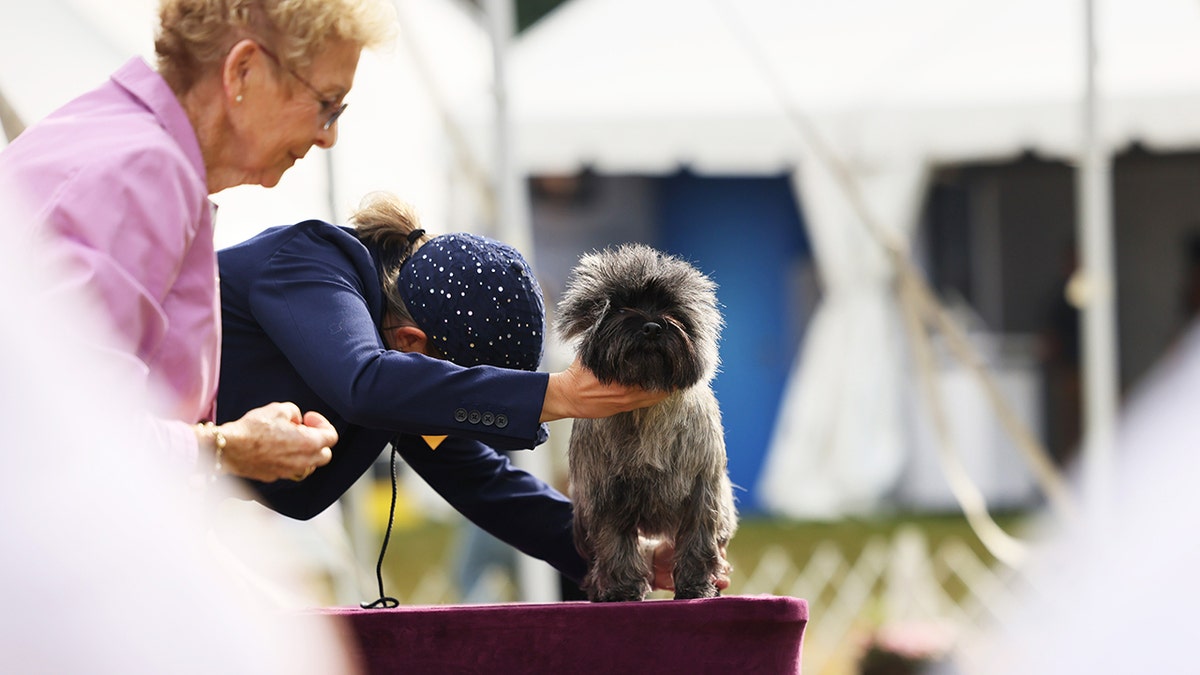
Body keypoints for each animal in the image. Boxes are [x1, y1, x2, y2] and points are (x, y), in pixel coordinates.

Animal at [556, 241, 734, 598]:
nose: (652, 326)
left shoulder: (702, 490)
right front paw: (621, 590)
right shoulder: (605, 495)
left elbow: (697, 539)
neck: (645, 415)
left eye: (673, 310)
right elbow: (615, 542)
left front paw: (697, 587)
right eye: (621, 307)